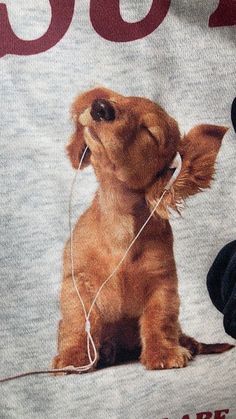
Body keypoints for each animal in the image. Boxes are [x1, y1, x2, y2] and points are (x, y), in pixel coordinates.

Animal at [53, 88, 232, 370]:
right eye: (120, 100)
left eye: (149, 132)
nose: (101, 107)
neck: (118, 223)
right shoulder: (75, 280)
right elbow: (77, 321)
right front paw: (73, 356)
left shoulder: (162, 282)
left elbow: (159, 319)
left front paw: (163, 352)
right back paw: (106, 350)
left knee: (180, 333)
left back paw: (186, 346)